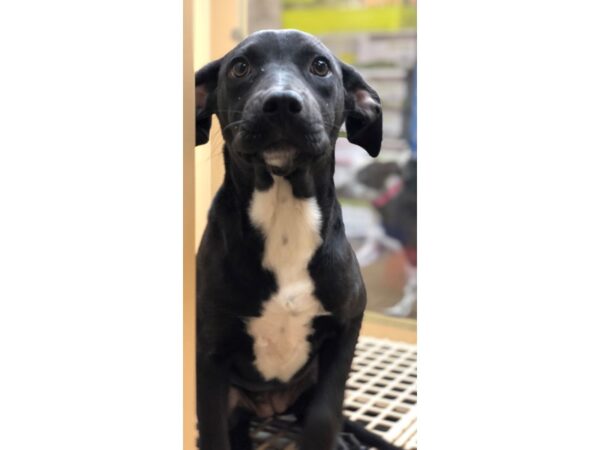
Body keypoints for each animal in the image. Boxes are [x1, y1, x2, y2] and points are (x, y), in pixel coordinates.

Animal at [195, 29, 386, 448]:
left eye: (320, 66)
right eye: (240, 67)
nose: (281, 103)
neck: (284, 216)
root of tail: (271, 408)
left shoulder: (347, 325)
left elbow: (324, 415)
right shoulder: (211, 352)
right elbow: (213, 428)